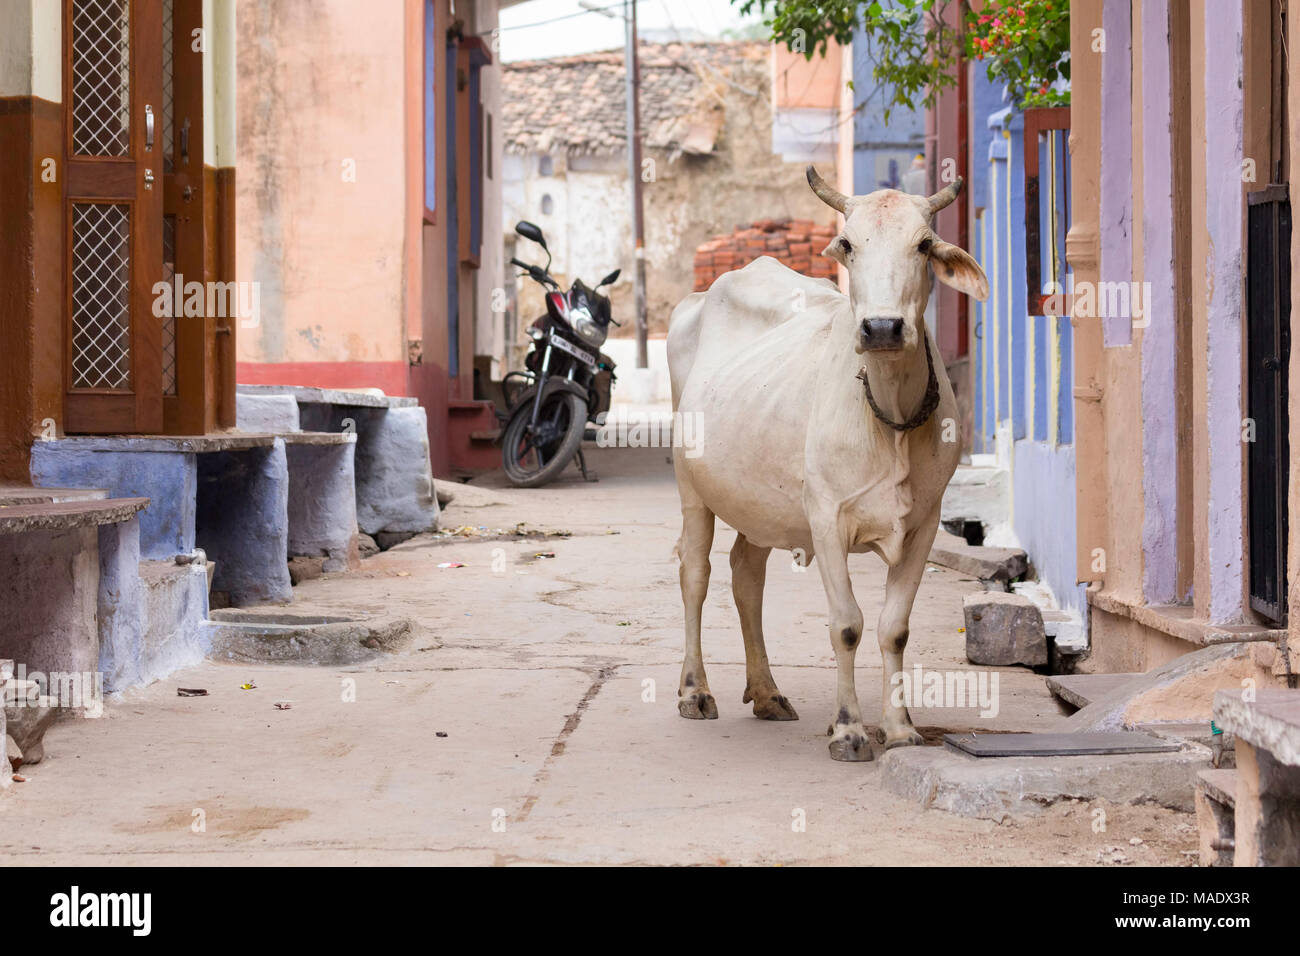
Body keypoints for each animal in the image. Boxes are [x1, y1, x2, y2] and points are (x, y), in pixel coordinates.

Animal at [670, 166, 982, 764]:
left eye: (923, 245)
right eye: (847, 244)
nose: (881, 328)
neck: (890, 417)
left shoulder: (926, 523)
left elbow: (893, 628)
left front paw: (901, 729)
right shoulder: (826, 518)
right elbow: (847, 626)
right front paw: (848, 730)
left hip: (762, 501)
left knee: (746, 574)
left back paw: (766, 692)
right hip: (692, 489)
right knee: (695, 574)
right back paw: (694, 691)